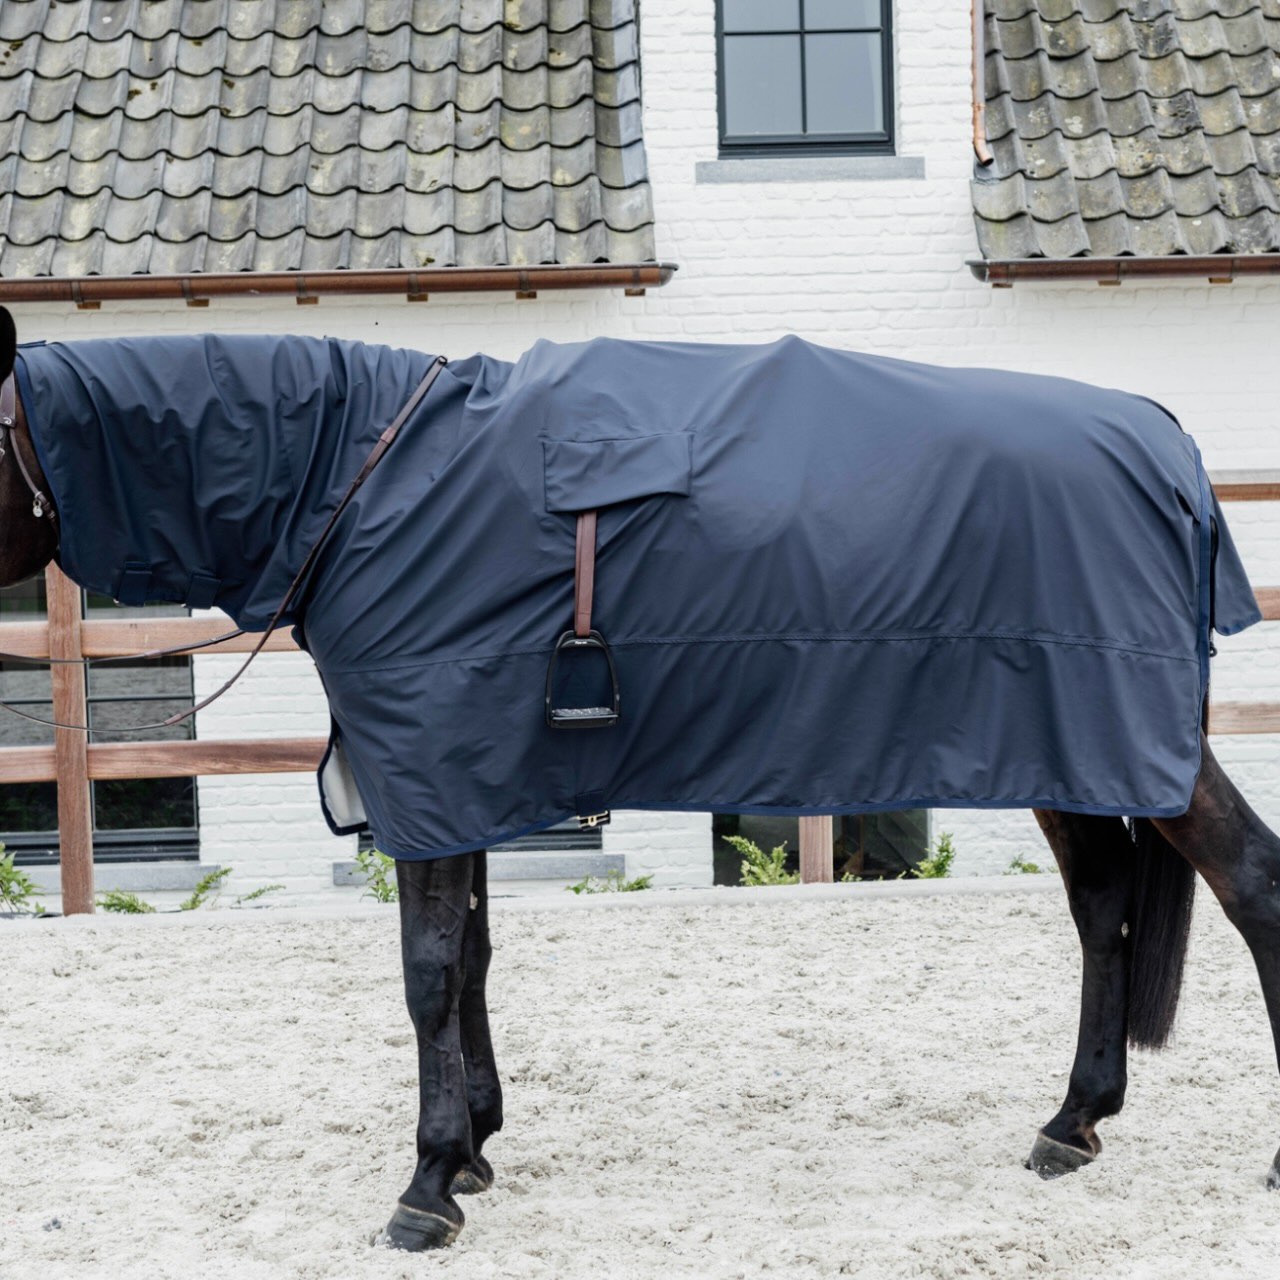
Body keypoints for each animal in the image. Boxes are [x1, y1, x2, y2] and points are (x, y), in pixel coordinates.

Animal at [3, 303, 1280, 1252]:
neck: (368, 479)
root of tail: (1163, 442)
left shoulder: (429, 772)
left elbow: (425, 974)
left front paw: (425, 1185)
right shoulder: (456, 777)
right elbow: (472, 956)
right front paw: (475, 1143)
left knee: (1250, 886)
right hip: (1068, 747)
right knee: (1104, 904)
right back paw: (1071, 1120)